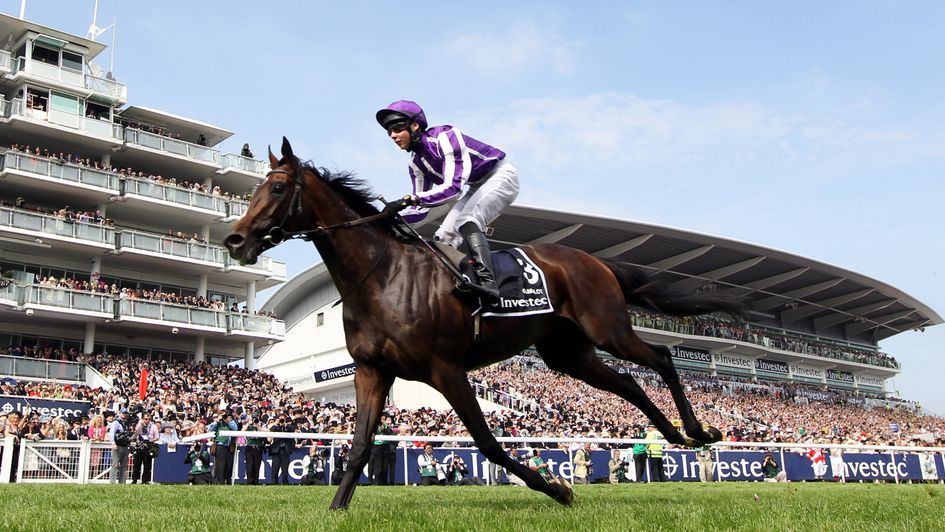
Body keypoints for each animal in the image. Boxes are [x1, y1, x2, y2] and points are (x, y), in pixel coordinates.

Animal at [223, 137, 744, 508]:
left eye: (276, 188)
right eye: (254, 188)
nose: (235, 240)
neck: (382, 275)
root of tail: (597, 261)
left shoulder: (446, 369)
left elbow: (490, 444)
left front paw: (559, 489)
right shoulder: (372, 371)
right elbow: (359, 447)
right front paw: (335, 510)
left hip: (608, 329)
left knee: (661, 357)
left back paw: (699, 431)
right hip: (569, 355)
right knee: (631, 383)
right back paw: (675, 436)